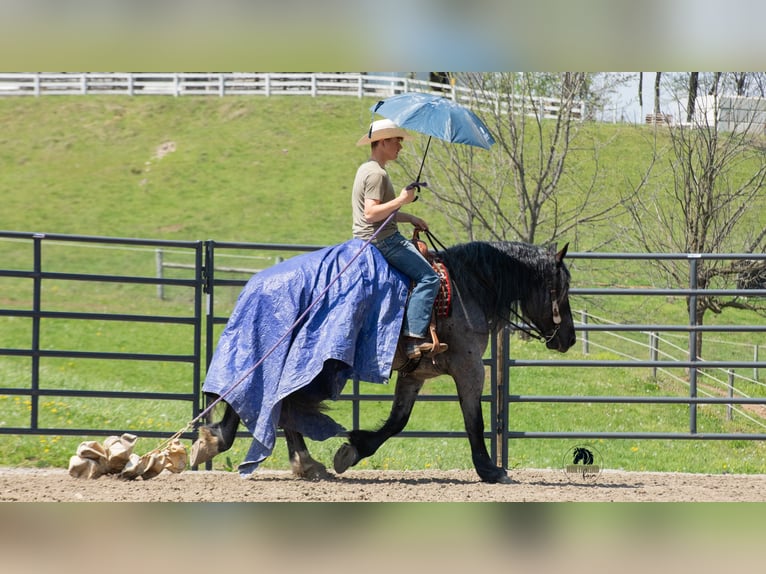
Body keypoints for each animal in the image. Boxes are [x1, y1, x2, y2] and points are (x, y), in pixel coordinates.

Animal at [191, 240, 576, 484]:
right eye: (564, 290)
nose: (569, 339)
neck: (467, 288)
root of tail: (255, 286)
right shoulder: (470, 369)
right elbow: (474, 423)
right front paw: (490, 470)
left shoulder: (416, 373)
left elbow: (397, 421)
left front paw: (352, 450)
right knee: (272, 401)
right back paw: (230, 444)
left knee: (278, 404)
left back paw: (297, 462)